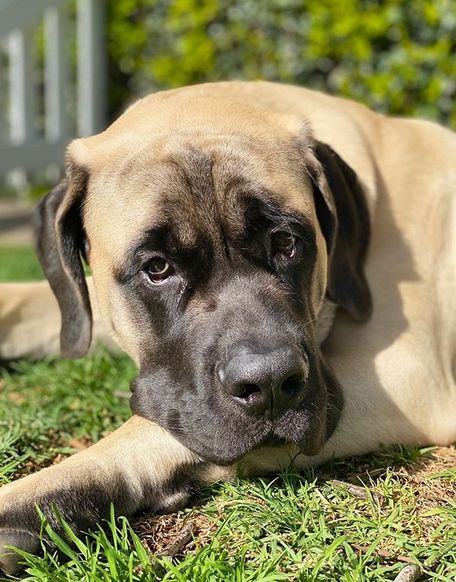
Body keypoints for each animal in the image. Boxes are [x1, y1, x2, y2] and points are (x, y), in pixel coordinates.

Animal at [0, 81, 456, 576]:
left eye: (286, 242)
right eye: (157, 268)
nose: (271, 383)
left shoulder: (405, 379)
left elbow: (142, 432)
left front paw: (23, 505)